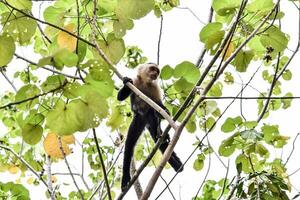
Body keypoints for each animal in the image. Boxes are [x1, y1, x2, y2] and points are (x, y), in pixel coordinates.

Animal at [116, 62, 183, 191]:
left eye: (157, 71)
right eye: (152, 69)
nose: (155, 74)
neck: (145, 83)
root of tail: (145, 118)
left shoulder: (155, 87)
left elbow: (159, 105)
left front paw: (164, 111)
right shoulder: (136, 81)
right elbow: (120, 97)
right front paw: (126, 82)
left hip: (149, 119)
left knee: (154, 118)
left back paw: (162, 134)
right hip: (138, 119)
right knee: (129, 144)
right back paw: (125, 179)